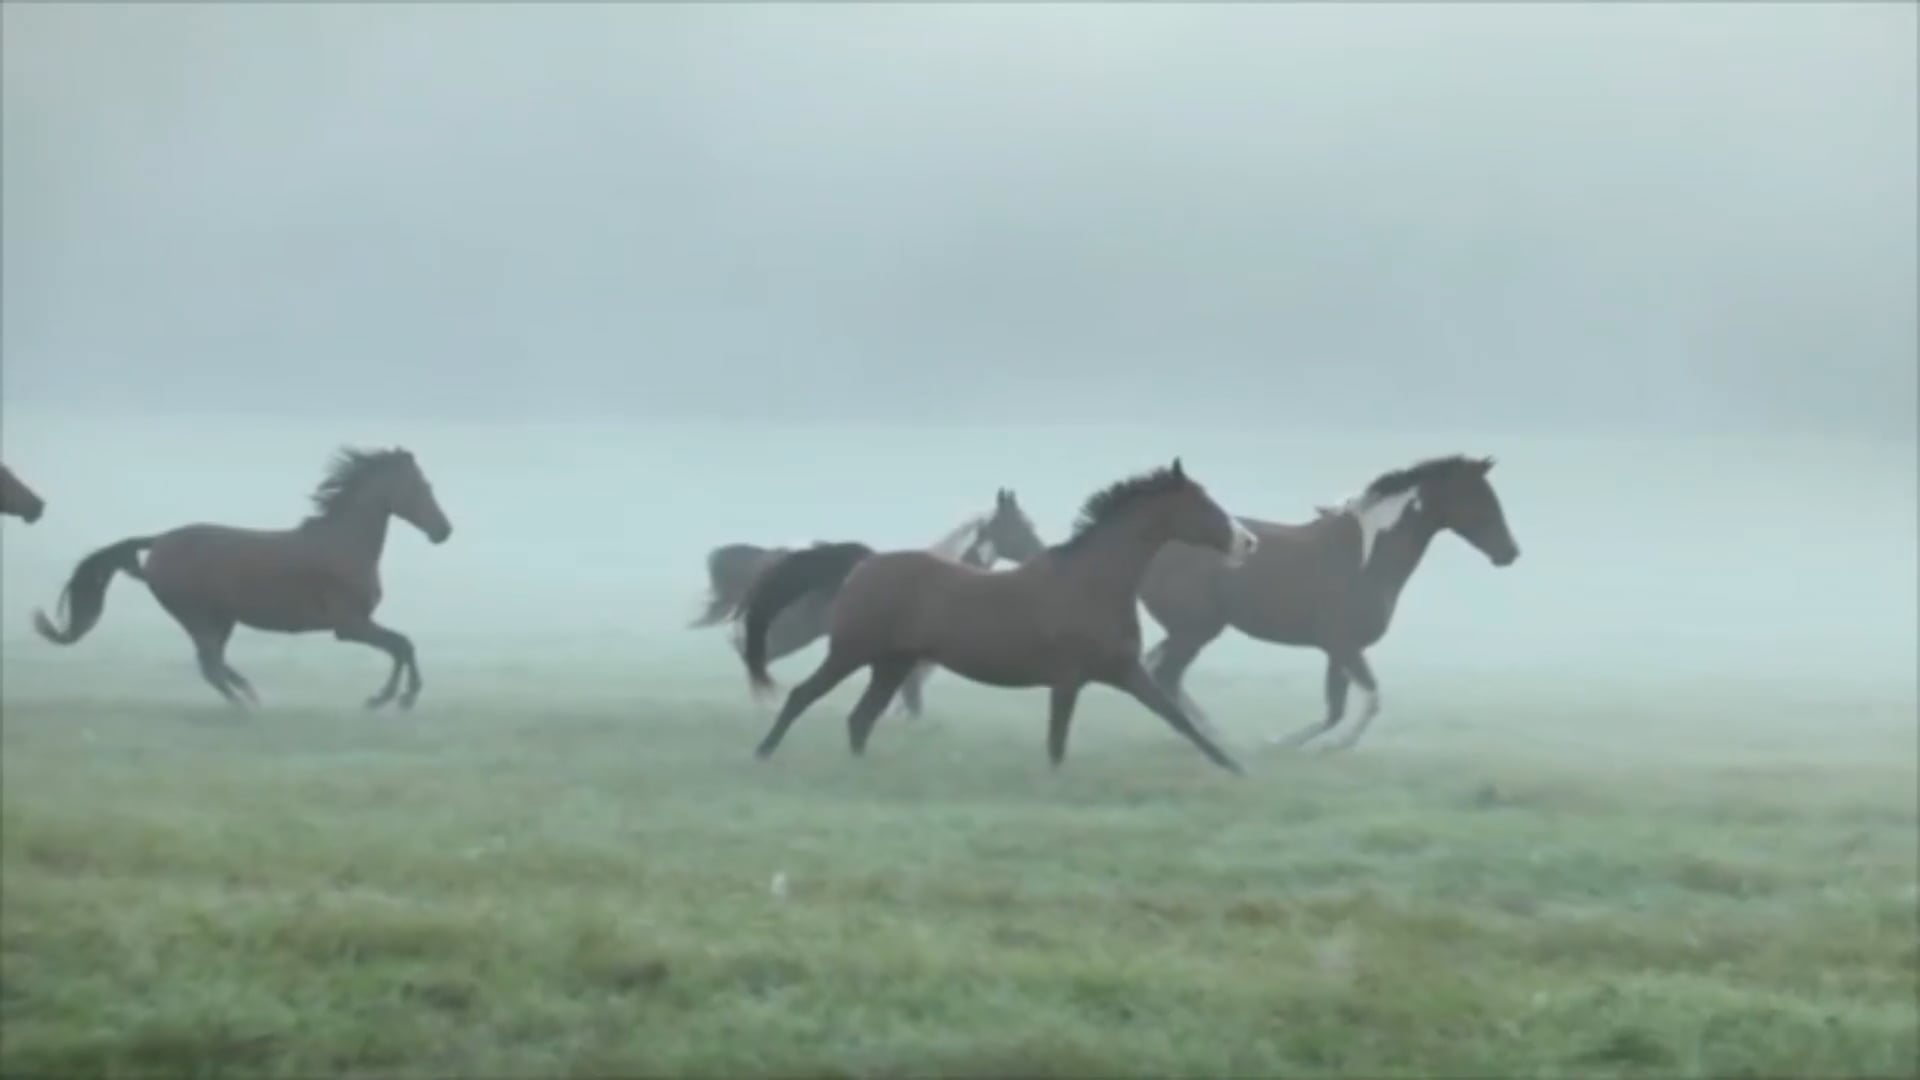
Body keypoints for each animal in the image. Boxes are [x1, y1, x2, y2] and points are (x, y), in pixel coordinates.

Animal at [31, 447, 452, 709]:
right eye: (421, 487)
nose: (444, 531)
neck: (343, 543)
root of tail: (160, 541)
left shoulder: (355, 625)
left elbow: (401, 646)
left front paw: (389, 698)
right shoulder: (349, 625)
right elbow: (402, 645)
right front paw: (392, 699)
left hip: (220, 619)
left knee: (214, 662)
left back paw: (249, 694)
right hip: (197, 615)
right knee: (210, 665)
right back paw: (247, 705)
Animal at [733, 459, 1258, 774]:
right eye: (1203, 504)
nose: (1248, 542)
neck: (1093, 582)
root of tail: (864, 563)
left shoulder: (1124, 672)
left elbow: (1178, 719)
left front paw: (1234, 767)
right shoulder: (1068, 680)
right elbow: (1057, 742)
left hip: (892, 663)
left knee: (861, 719)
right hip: (852, 652)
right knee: (803, 696)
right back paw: (762, 754)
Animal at [1138, 454, 1520, 752]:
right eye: (1480, 498)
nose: (1510, 552)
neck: (1365, 558)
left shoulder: (1337, 651)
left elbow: (1334, 710)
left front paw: (1284, 742)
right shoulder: (1344, 645)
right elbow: (1368, 700)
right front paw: (1322, 745)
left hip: (1186, 631)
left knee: (1155, 671)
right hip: (1196, 630)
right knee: (1167, 675)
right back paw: (1214, 736)